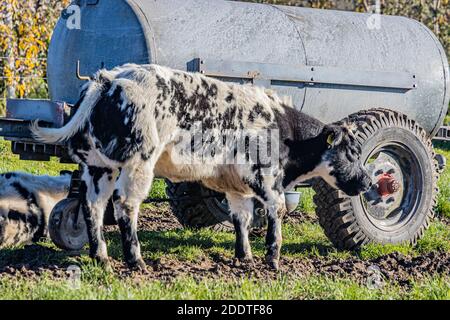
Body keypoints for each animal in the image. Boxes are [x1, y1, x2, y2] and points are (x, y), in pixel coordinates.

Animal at [31, 63, 372, 272]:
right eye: (351, 152)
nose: (368, 181)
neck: (283, 127)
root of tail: (109, 78)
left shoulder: (237, 186)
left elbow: (242, 218)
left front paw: (245, 257)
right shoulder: (265, 177)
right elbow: (276, 211)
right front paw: (272, 259)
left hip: (98, 166)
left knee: (93, 207)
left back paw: (100, 256)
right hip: (139, 163)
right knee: (125, 206)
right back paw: (135, 261)